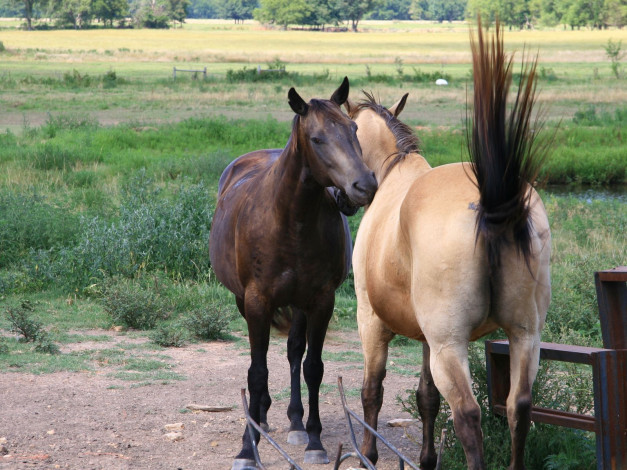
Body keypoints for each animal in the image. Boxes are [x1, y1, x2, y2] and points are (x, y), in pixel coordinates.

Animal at [211, 77, 378, 466]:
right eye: (317, 139)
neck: (290, 221)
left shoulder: (320, 302)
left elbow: (312, 367)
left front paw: (314, 440)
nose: (364, 186)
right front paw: (248, 446)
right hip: (244, 301)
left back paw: (295, 423)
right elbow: (256, 372)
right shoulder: (256, 301)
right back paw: (260, 418)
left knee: (293, 352)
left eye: (353, 129)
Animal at [346, 19, 552, 470]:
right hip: (525, 336)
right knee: (519, 408)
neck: (393, 173)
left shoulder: (371, 320)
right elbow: (426, 399)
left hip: (450, 347)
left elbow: (373, 390)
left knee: (468, 416)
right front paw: (426, 459)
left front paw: (368, 453)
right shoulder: (425, 338)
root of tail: (494, 206)